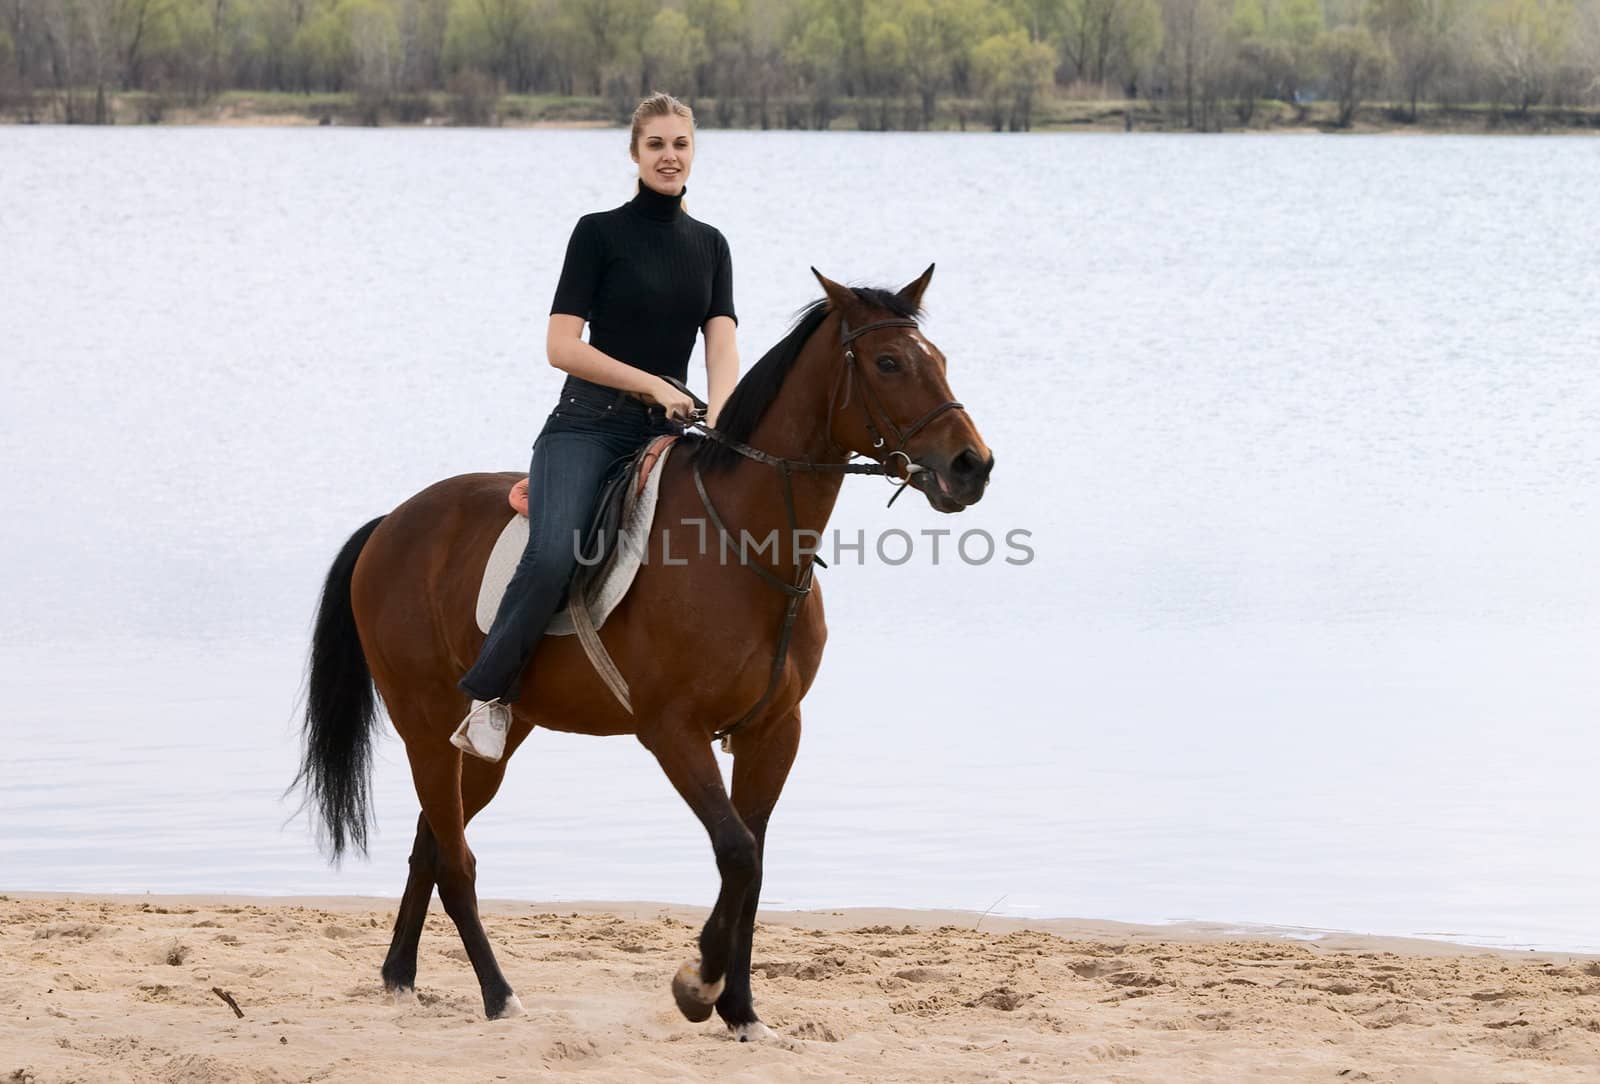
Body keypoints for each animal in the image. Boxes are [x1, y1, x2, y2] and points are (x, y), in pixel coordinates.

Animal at [289, 267, 985, 1042]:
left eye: (940, 359)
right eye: (889, 363)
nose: (972, 465)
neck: (745, 545)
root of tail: (391, 525)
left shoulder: (774, 732)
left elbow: (753, 867)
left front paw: (742, 1012)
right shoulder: (672, 731)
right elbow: (737, 852)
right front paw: (698, 986)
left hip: (492, 737)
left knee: (432, 846)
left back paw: (400, 977)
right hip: (424, 727)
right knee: (457, 863)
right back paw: (500, 995)